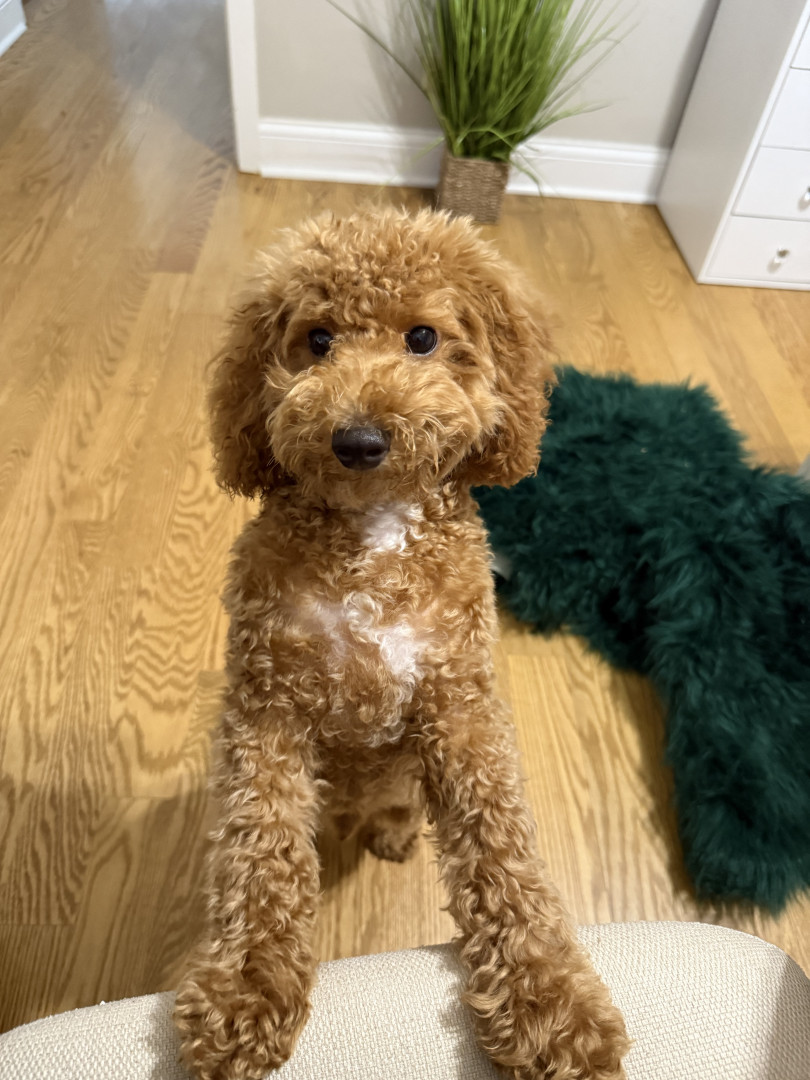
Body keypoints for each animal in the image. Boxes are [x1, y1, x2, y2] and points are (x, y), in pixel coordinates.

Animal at [174, 207, 629, 1080]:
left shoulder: (460, 707)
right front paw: (245, 991)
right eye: (316, 340)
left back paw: (388, 832)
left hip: (411, 768)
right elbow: (260, 852)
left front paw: (551, 1004)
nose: (356, 440)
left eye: (422, 337)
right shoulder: (268, 707)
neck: (374, 535)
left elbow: (502, 851)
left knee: (400, 802)